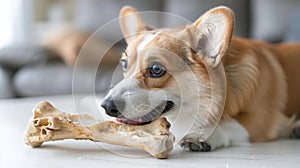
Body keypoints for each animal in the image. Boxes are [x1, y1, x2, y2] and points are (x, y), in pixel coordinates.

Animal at [101, 6, 300, 151]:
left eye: (156, 69)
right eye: (124, 64)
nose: (106, 106)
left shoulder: (264, 120)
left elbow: (230, 125)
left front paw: (200, 136)